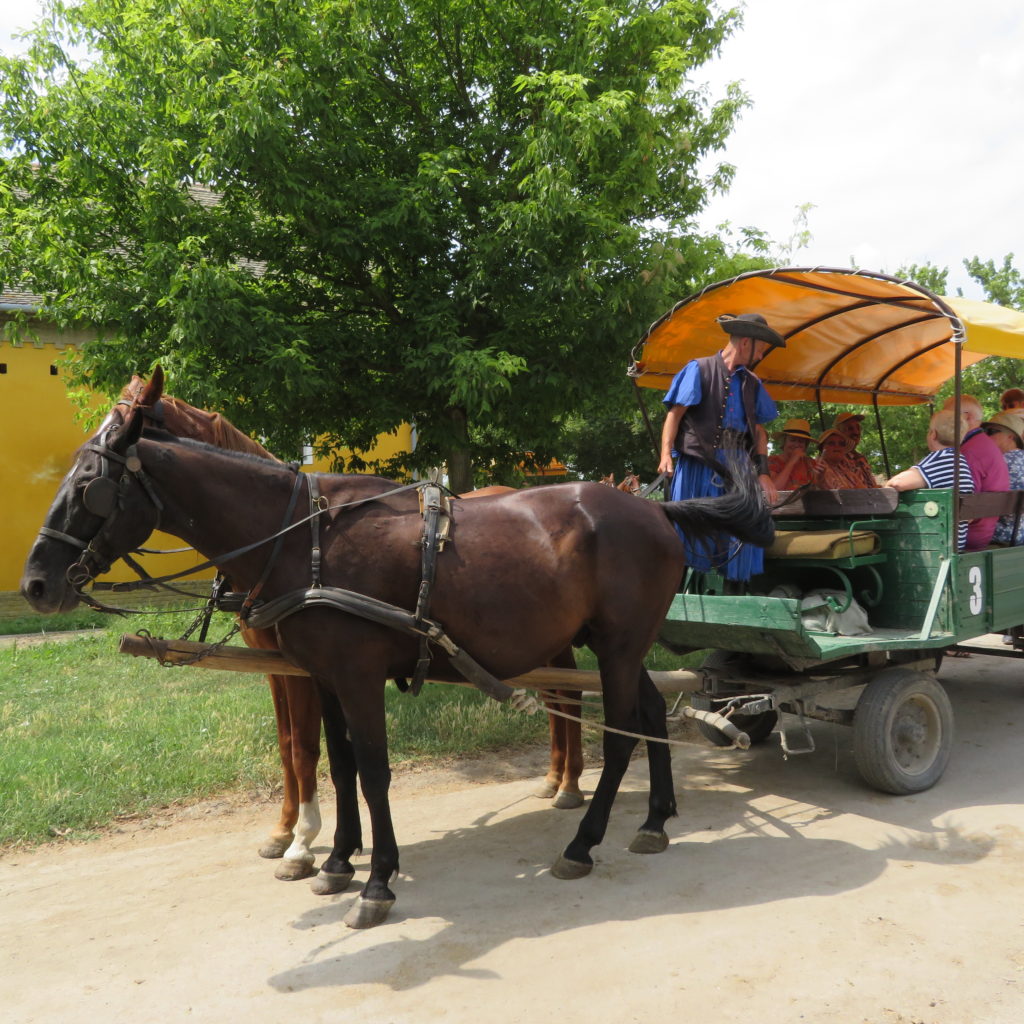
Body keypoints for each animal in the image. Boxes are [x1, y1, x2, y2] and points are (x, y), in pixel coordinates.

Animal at [22, 380, 774, 933]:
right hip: (617, 643)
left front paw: (376, 879)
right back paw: (654, 819)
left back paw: (583, 843)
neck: (302, 539)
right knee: (645, 710)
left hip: (615, 645)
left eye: (90, 485)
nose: (35, 584)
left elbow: (375, 771)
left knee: (619, 736)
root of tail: (657, 511)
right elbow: (339, 763)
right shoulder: (321, 674)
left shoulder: (356, 674)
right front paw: (334, 859)